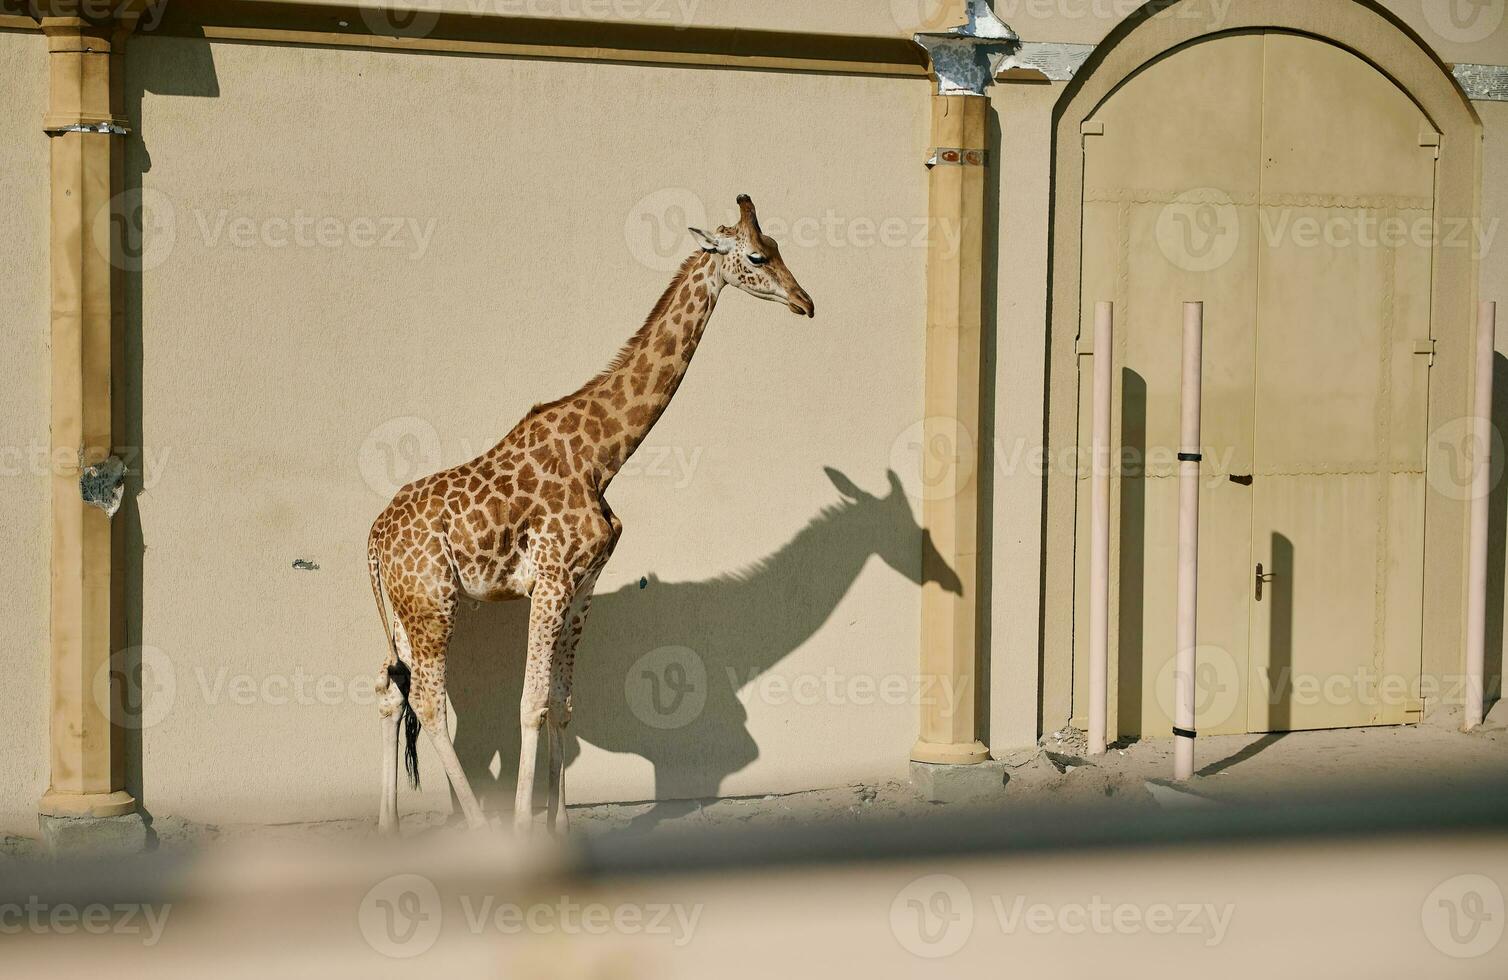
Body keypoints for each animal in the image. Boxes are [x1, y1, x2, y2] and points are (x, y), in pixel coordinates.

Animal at [367, 196, 814, 832]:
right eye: (756, 256)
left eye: (777, 246)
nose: (805, 302)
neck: (603, 457)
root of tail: (374, 537)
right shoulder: (552, 579)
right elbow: (530, 704)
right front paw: (525, 828)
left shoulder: (583, 585)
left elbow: (561, 704)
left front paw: (559, 824)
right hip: (434, 604)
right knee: (427, 703)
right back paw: (476, 825)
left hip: (404, 609)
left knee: (388, 692)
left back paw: (389, 827)